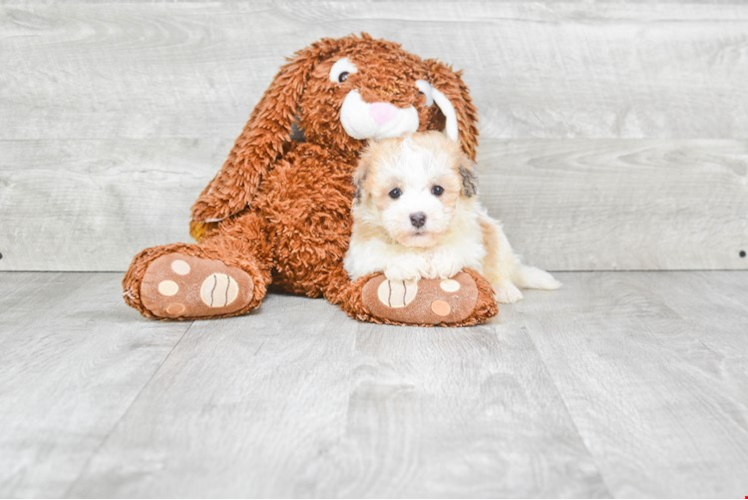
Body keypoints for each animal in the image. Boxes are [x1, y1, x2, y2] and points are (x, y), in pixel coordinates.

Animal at [344, 131, 560, 302]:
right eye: (395, 193)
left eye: (438, 190)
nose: (418, 218)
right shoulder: (360, 253)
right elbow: (382, 251)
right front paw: (409, 262)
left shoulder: (472, 238)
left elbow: (458, 247)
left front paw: (440, 260)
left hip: (496, 235)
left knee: (498, 266)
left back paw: (503, 288)